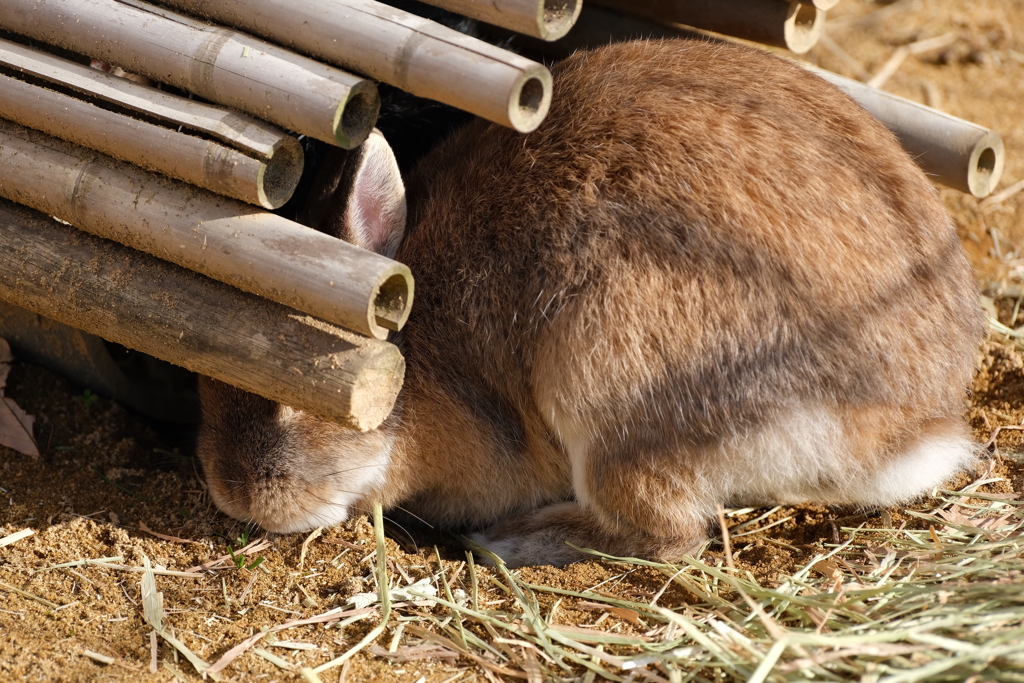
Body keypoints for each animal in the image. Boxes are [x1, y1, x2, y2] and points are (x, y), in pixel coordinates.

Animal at [193, 40, 983, 569]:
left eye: (298, 394)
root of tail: (907, 428)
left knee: (667, 535)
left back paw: (515, 540)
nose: (236, 496)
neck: (417, 371)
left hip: (608, 379)